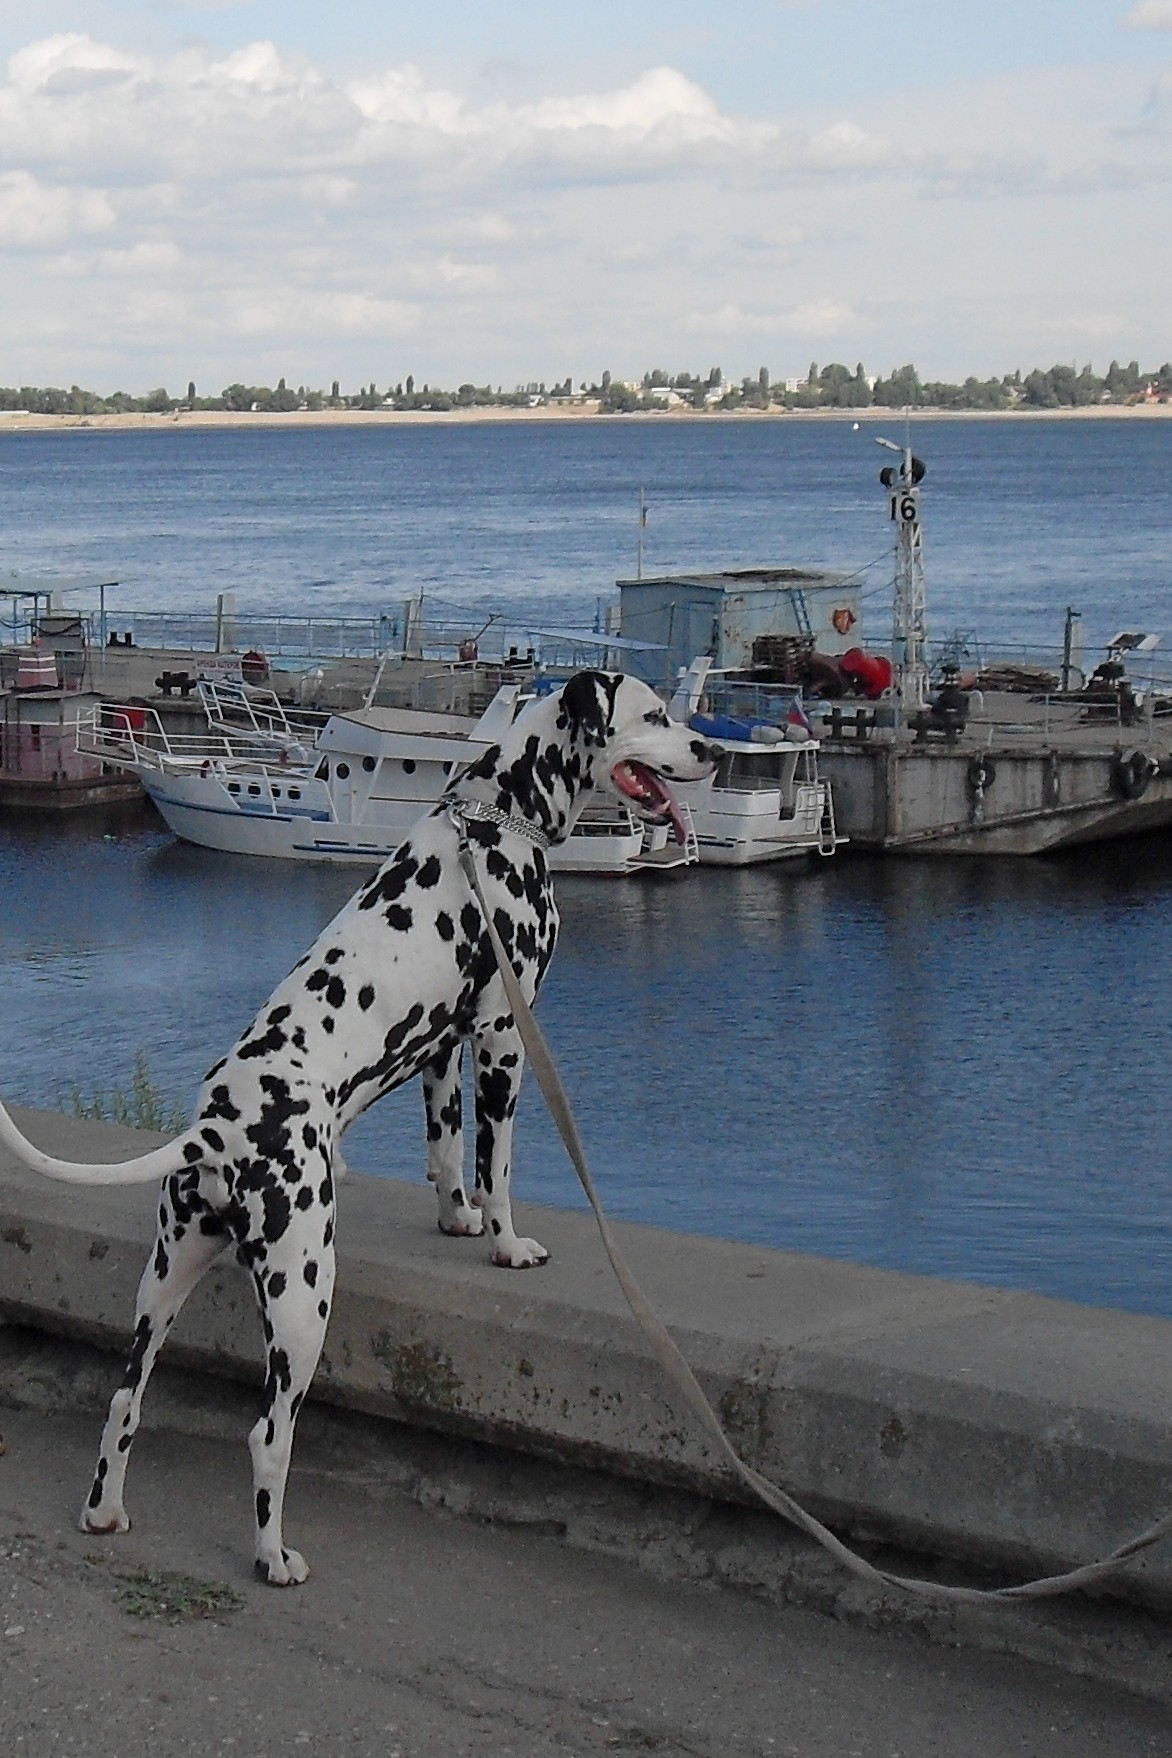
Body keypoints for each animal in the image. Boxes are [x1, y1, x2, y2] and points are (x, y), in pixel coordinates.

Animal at [0, 664, 716, 1589]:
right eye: (655, 715)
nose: (710, 749)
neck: (498, 816)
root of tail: (217, 1132)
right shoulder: (502, 1036)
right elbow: (499, 1165)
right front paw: (506, 1244)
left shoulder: (443, 1050)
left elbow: (446, 1152)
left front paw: (456, 1220)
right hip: (305, 1293)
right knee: (268, 1434)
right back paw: (273, 1557)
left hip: (164, 1282)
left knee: (125, 1399)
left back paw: (105, 1511)